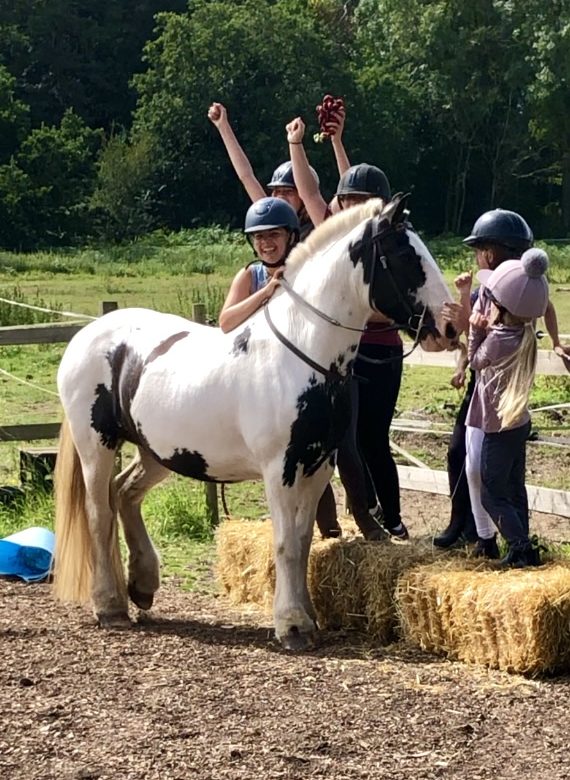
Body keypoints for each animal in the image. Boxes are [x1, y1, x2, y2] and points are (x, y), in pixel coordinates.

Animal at [54, 195, 456, 650]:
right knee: (99, 512)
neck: (302, 354)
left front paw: (306, 618)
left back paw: (142, 585)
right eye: (405, 255)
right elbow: (284, 543)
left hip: (157, 451)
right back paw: (110, 607)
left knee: (125, 494)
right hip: (97, 445)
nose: (449, 326)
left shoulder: (318, 466)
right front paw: (292, 626)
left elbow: (302, 542)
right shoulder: (280, 469)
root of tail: (87, 336)